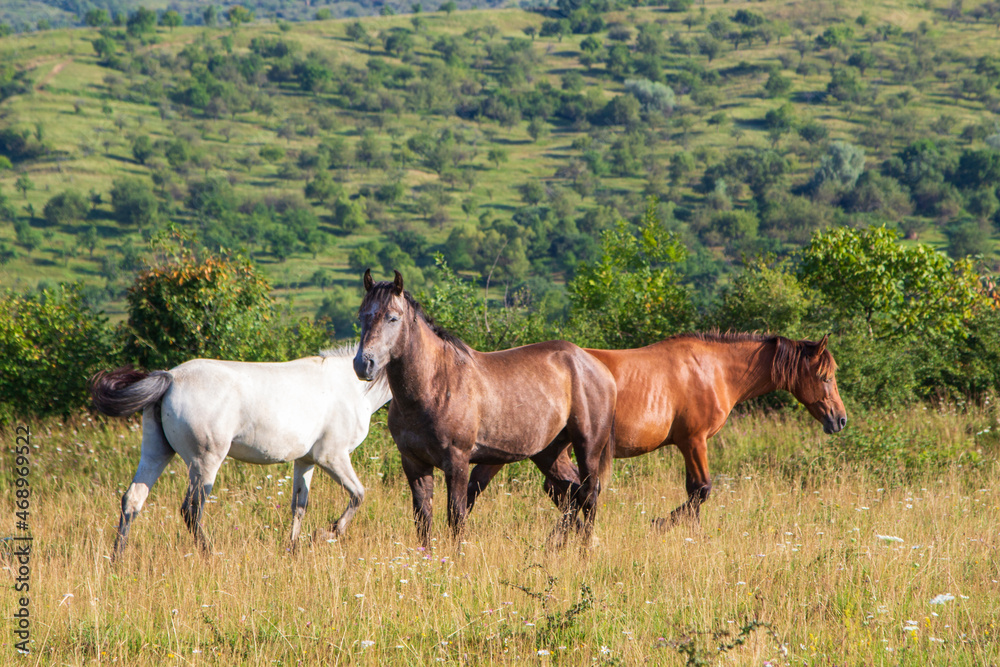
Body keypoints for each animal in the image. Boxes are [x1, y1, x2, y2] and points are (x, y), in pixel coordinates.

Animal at [90, 348, 392, 560]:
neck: (353, 386)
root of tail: (171, 378)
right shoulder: (332, 457)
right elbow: (358, 495)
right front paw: (326, 533)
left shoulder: (305, 461)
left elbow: (299, 506)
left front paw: (293, 549)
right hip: (205, 462)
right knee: (191, 510)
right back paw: (210, 554)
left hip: (156, 452)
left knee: (133, 500)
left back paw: (117, 559)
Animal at [352, 272, 616, 548]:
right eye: (361, 316)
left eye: (393, 317)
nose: (363, 364)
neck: (434, 384)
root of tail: (596, 365)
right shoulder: (414, 463)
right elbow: (423, 518)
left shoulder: (457, 461)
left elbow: (456, 516)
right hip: (549, 452)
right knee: (571, 493)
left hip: (587, 447)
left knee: (589, 493)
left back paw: (585, 551)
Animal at [466, 332, 844, 528]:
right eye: (824, 376)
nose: (839, 419)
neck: (714, 370)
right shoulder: (693, 441)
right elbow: (700, 490)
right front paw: (663, 523)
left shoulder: (689, 444)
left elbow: (695, 492)